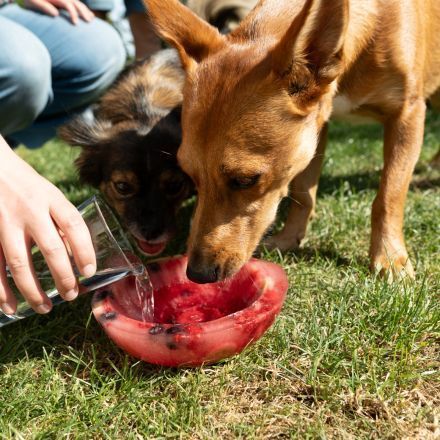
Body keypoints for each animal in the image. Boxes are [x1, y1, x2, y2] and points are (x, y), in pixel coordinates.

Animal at [146, 0, 440, 282]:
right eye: (189, 176)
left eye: (245, 180)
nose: (197, 274)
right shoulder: (317, 127)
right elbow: (302, 192)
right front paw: (290, 238)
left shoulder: (407, 114)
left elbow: (389, 195)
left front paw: (389, 258)